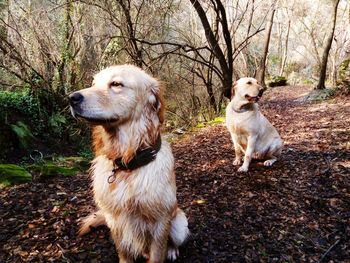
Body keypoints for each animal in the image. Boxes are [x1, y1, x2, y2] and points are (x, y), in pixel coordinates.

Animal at [68, 65, 189, 262]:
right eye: (93, 83)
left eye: (116, 84)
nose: (72, 98)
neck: (128, 164)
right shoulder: (115, 220)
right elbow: (124, 252)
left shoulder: (160, 222)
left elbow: (158, 253)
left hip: (179, 224)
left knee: (173, 241)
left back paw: (172, 251)